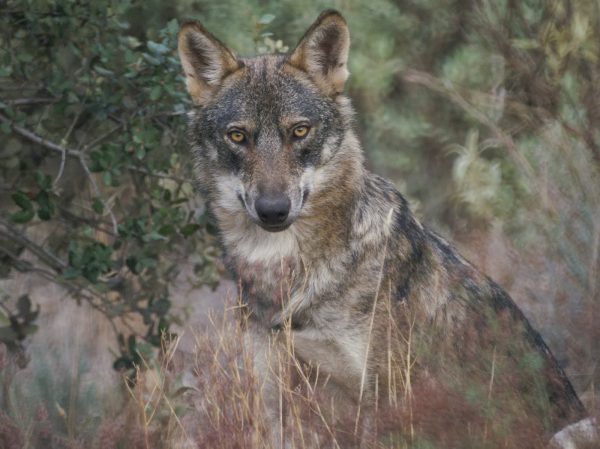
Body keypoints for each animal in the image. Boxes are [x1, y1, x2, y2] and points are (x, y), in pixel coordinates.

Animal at [177, 9, 584, 444]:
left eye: (300, 131)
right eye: (238, 136)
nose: (273, 211)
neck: (287, 272)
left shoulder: (384, 397)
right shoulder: (274, 400)